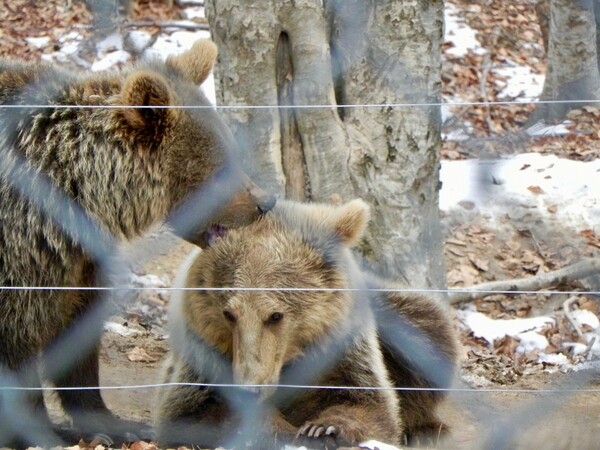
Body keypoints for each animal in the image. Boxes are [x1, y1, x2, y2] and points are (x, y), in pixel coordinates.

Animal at [0, 40, 276, 448]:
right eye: (219, 169)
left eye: (233, 157)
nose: (265, 202)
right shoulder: (23, 250)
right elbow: (19, 343)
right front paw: (40, 433)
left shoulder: (79, 259)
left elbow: (78, 335)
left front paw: (109, 423)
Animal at [156, 199, 460, 448]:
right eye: (229, 314)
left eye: (276, 315)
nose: (249, 389)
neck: (291, 359)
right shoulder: (205, 354)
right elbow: (191, 412)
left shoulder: (341, 348)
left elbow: (368, 402)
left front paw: (325, 430)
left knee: (428, 334)